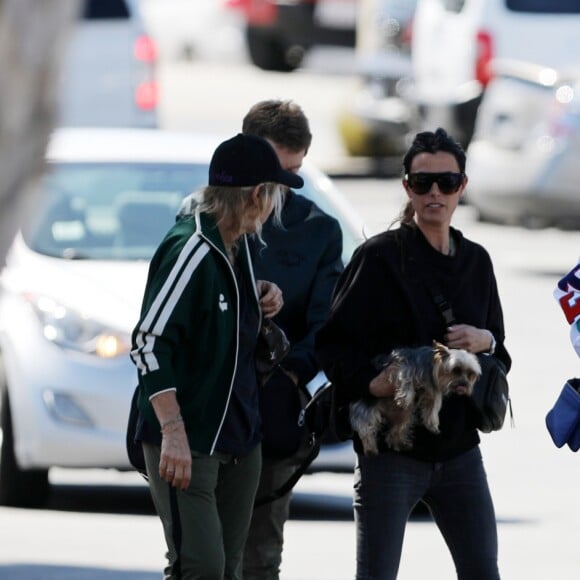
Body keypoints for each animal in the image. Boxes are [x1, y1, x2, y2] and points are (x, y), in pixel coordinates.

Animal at [348, 342, 480, 456]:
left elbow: (433, 405)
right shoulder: (403, 367)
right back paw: (370, 449)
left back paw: (402, 444)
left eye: (470, 374)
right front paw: (405, 398)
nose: (464, 385)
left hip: (406, 414)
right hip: (367, 407)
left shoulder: (432, 390)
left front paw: (432, 423)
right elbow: (406, 379)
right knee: (366, 428)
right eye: (456, 370)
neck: (431, 367)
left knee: (394, 431)